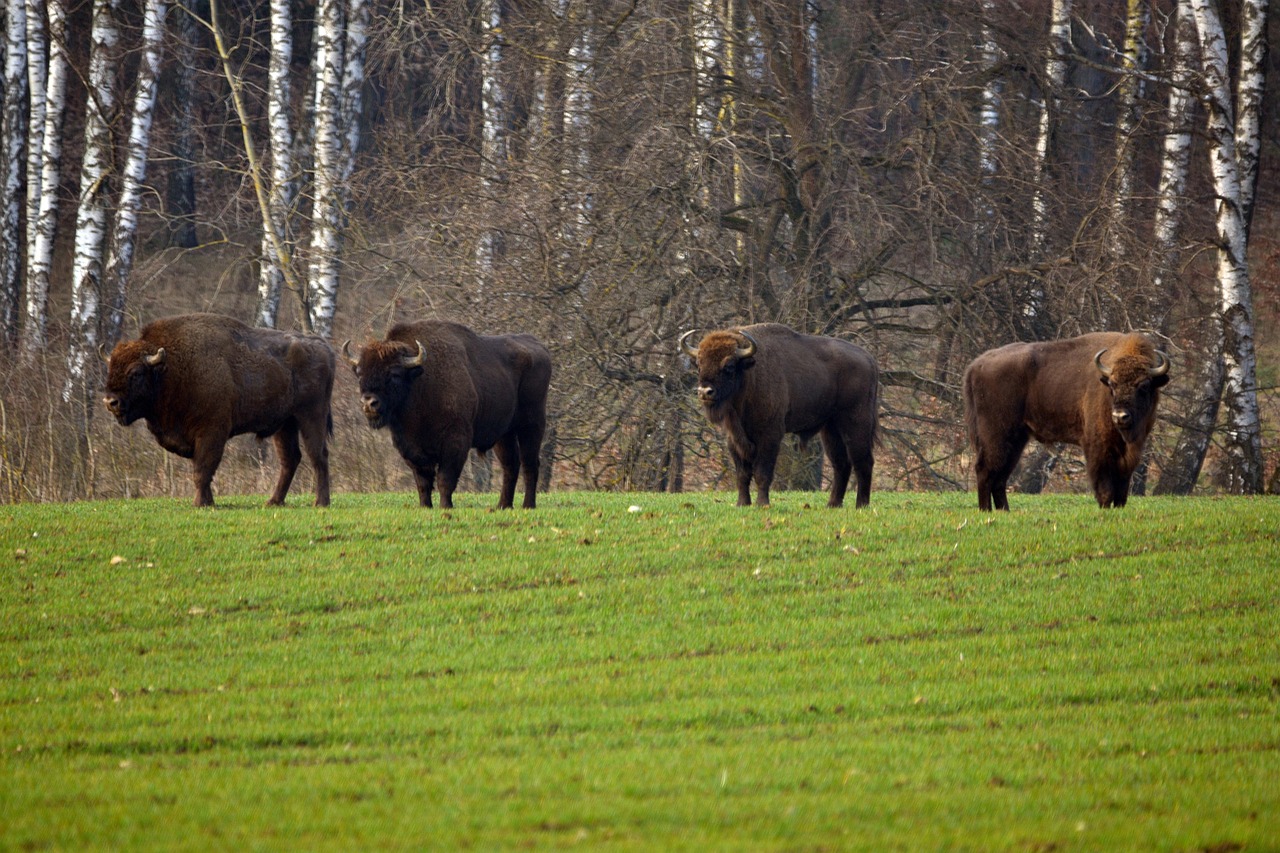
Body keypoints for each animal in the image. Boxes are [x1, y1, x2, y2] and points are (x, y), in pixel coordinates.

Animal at [103, 313, 335, 508]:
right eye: (110, 368)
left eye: (136, 373)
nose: (110, 401)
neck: (172, 368)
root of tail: (321, 345)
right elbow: (201, 470)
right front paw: (208, 501)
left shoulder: (211, 432)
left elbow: (203, 469)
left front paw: (200, 503)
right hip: (285, 425)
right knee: (290, 459)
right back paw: (273, 502)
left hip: (311, 416)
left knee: (318, 455)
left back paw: (320, 502)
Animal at [345, 320, 552, 509]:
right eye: (360, 373)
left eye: (394, 373)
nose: (368, 403)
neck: (420, 383)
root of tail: (539, 346)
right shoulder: (411, 449)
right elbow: (423, 483)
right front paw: (425, 507)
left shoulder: (455, 442)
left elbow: (445, 479)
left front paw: (446, 506)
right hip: (504, 434)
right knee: (511, 465)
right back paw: (503, 506)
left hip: (531, 425)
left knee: (530, 464)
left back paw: (528, 505)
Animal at [679, 323, 880, 508]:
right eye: (699, 364)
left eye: (728, 366)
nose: (705, 392)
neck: (749, 375)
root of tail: (869, 358)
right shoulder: (734, 439)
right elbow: (742, 474)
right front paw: (742, 503)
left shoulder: (770, 435)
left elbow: (762, 472)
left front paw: (763, 504)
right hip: (830, 428)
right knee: (841, 464)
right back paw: (832, 504)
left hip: (856, 422)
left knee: (863, 461)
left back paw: (861, 505)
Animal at [962, 331, 1171, 511]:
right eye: (1112, 385)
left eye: (1144, 386)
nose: (1120, 416)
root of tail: (975, 366)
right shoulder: (1097, 448)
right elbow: (1105, 488)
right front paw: (1104, 508)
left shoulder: (1130, 452)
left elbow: (1121, 491)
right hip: (996, 436)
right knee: (985, 470)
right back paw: (986, 511)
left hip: (1016, 440)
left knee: (1000, 477)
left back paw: (1004, 511)